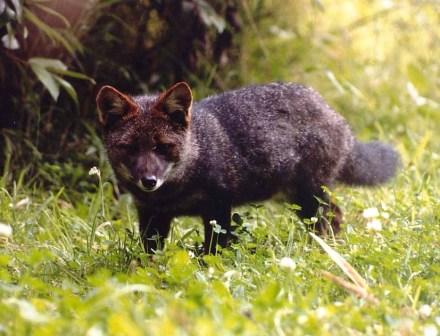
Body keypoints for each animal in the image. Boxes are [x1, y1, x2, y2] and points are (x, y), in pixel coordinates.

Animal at [96, 82, 398, 253]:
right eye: (131, 148)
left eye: (161, 147)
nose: (148, 180)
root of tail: (335, 115)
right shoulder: (151, 215)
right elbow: (150, 257)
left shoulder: (218, 207)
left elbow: (214, 251)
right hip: (297, 200)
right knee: (334, 215)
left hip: (309, 197)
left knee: (331, 217)